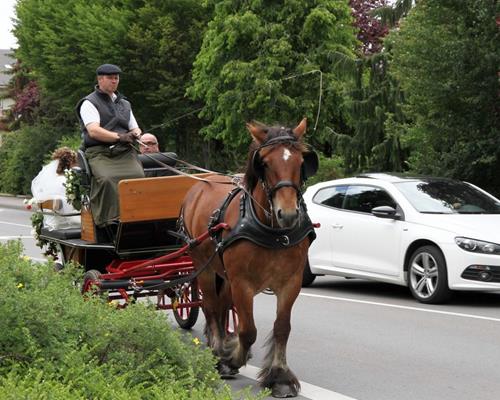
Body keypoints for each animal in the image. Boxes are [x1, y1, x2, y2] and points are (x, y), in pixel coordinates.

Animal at [182, 118, 318, 396]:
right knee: (210, 306)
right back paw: (218, 351)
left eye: (301, 162)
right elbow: (248, 330)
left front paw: (280, 377)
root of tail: (201, 183)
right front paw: (232, 358)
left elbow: (282, 328)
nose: (288, 214)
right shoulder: (242, 283)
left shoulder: (291, 282)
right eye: (263, 163)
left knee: (222, 306)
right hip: (204, 266)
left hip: (223, 273)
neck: (274, 231)